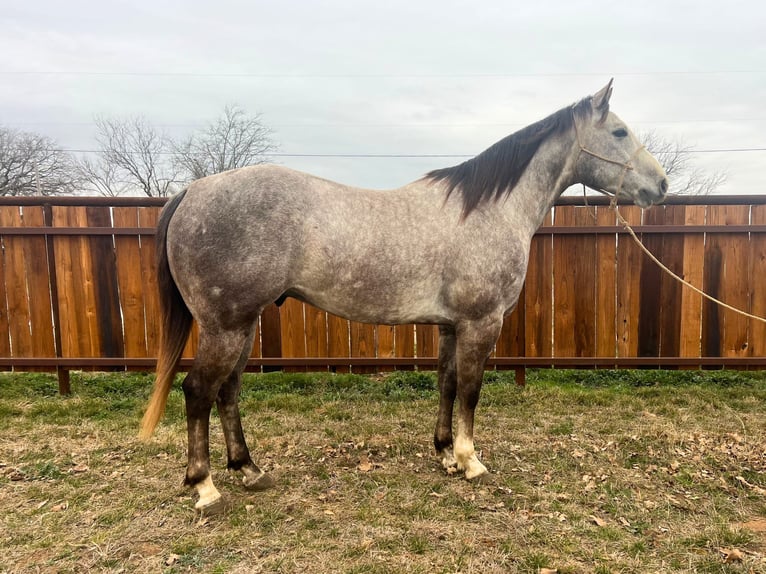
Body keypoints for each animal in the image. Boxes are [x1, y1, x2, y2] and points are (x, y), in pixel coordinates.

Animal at [141, 80, 668, 512]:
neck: (488, 210)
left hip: (243, 325)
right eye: (619, 132)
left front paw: (446, 455)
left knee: (227, 391)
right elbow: (471, 390)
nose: (661, 185)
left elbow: (448, 384)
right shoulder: (481, 323)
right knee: (198, 392)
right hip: (225, 326)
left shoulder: (452, 325)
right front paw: (470, 460)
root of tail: (192, 192)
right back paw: (206, 487)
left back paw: (250, 471)